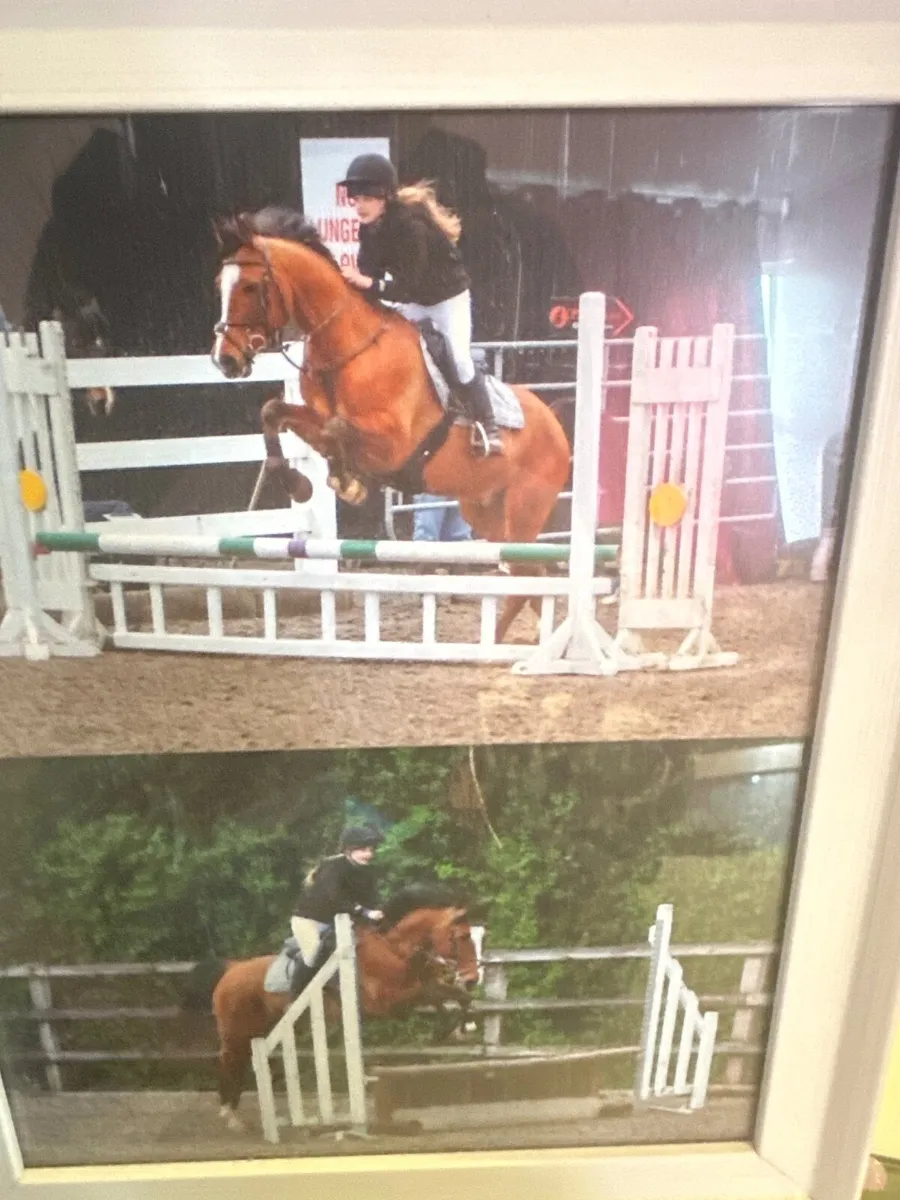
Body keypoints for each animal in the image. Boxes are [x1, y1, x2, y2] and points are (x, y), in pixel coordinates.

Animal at [180, 884, 481, 1131]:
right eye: (462, 936)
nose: (472, 978)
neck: (393, 948)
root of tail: (230, 969)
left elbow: (450, 996)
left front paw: (457, 1029)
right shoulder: (388, 1002)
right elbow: (430, 993)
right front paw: (450, 1027)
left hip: (260, 1028)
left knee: (244, 1061)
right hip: (236, 1032)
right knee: (228, 1061)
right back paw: (230, 1116)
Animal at [210, 207, 572, 643]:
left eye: (249, 287)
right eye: (220, 285)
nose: (225, 360)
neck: (348, 349)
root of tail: (555, 423)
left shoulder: (394, 444)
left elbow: (337, 429)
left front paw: (345, 482)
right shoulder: (314, 419)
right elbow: (276, 412)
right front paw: (300, 483)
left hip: (524, 508)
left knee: (527, 574)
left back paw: (499, 643)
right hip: (483, 510)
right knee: (533, 574)